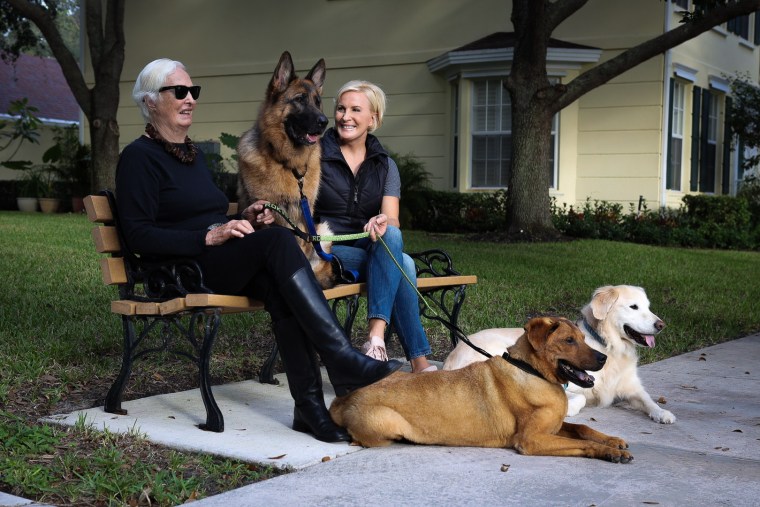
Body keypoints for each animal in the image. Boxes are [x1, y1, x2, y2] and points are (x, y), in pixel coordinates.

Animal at [330, 318, 632, 464]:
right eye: (569, 341)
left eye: (582, 338)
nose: (604, 358)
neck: (531, 371)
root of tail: (343, 399)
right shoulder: (532, 439)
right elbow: (582, 442)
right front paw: (608, 452)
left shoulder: (553, 427)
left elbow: (582, 428)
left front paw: (612, 440)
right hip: (386, 424)